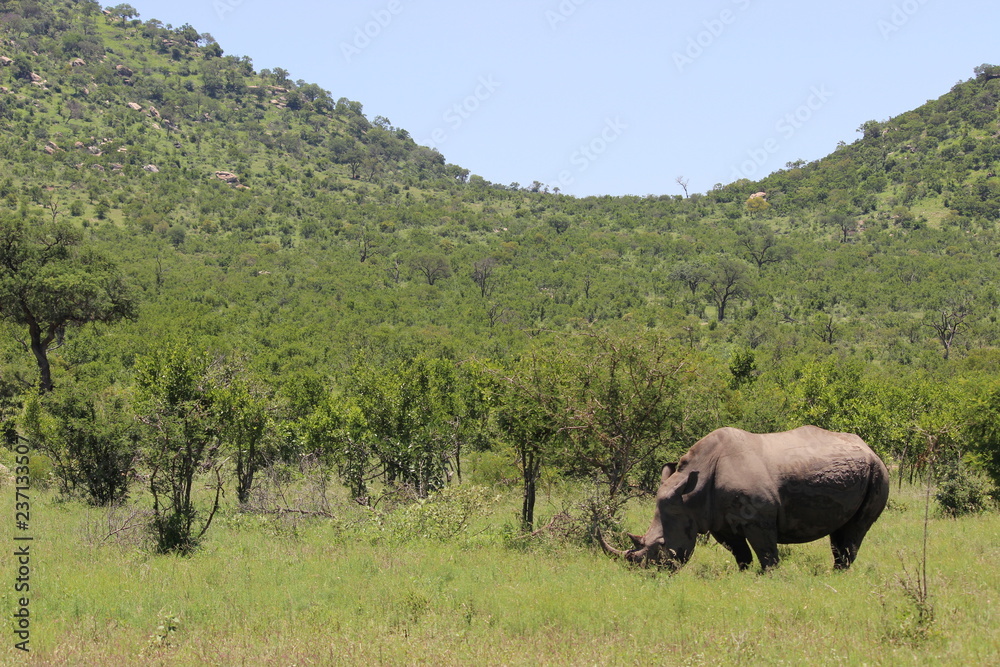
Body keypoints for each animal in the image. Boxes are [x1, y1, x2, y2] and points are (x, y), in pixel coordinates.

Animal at [597, 426, 889, 571]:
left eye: (661, 545)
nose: (649, 573)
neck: (691, 492)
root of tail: (869, 448)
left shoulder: (759, 519)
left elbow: (767, 553)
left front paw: (770, 577)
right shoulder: (717, 520)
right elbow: (741, 553)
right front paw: (744, 574)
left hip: (878, 473)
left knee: (855, 530)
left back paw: (840, 573)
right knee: (841, 531)